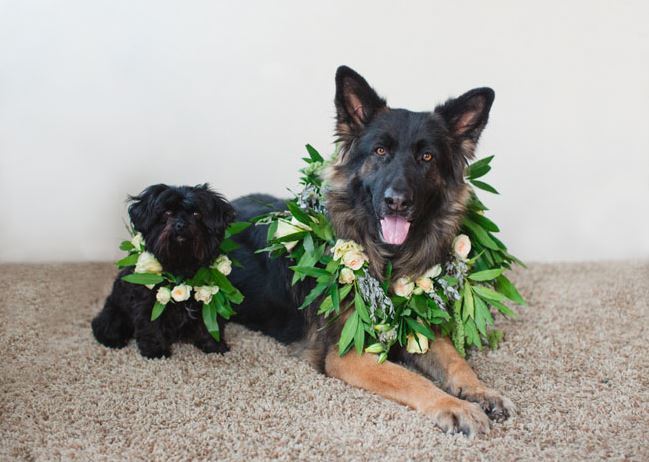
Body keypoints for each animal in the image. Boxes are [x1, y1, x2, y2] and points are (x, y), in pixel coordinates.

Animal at [90, 182, 234, 360]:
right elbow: (151, 325)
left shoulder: (209, 298)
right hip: (114, 314)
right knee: (102, 326)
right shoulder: (148, 303)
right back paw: (113, 341)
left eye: (196, 214)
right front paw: (156, 351)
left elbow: (210, 324)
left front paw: (214, 346)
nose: (181, 224)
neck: (180, 265)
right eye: (167, 213)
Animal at [230, 66, 512, 436]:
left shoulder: (420, 328)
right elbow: (412, 379)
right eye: (380, 151)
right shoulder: (350, 352)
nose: (397, 202)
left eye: (427, 157)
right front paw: (455, 406)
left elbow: (456, 361)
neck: (388, 259)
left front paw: (481, 391)